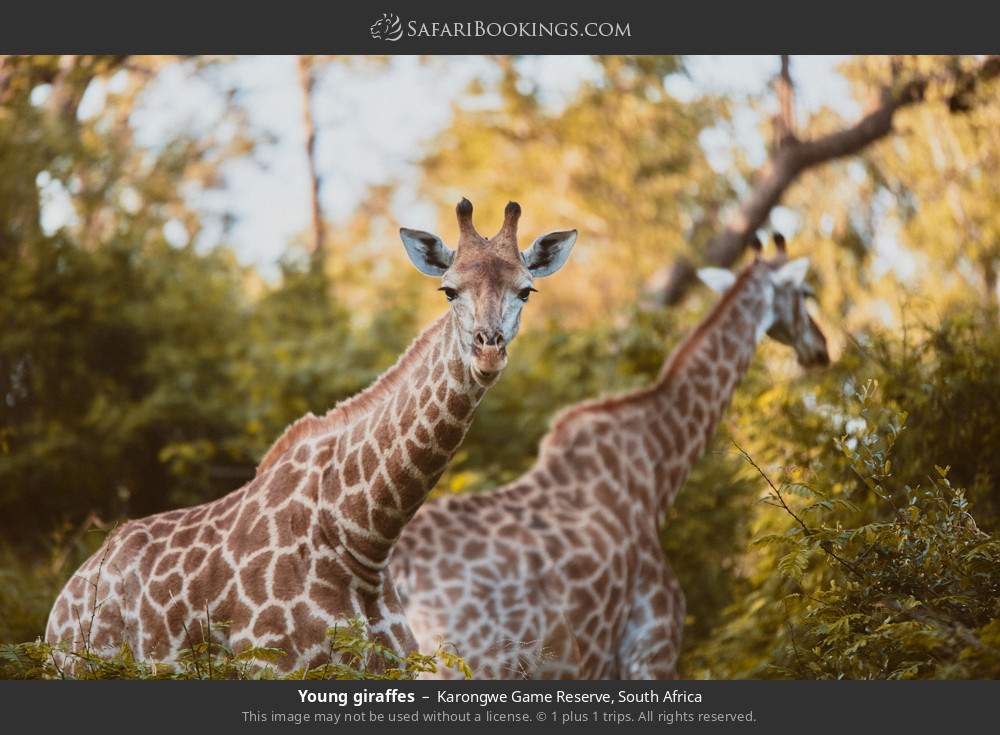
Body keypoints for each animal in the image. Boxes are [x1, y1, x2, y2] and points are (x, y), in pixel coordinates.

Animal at [44, 198, 578, 674]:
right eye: (449, 290)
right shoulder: (275, 667)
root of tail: (61, 603)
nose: (488, 352)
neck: (363, 540)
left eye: (526, 291)